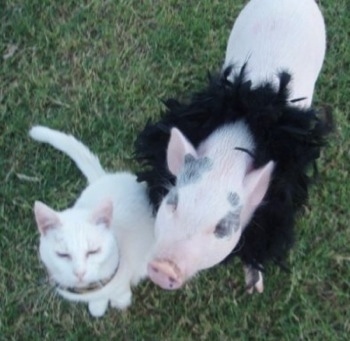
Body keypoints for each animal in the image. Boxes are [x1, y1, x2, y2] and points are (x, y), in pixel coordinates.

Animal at [29, 125, 155, 316]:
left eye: (93, 251)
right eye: (63, 254)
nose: (79, 272)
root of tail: (103, 178)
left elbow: (120, 290)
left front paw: (120, 302)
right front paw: (97, 306)